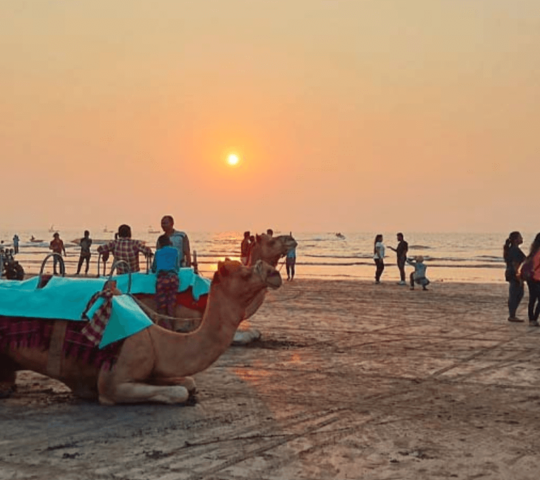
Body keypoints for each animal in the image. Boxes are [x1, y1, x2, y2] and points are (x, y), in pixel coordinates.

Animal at [1, 260, 282, 404]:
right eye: (245, 272)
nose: (274, 273)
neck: (156, 340)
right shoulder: (112, 383)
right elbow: (180, 392)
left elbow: (188, 382)